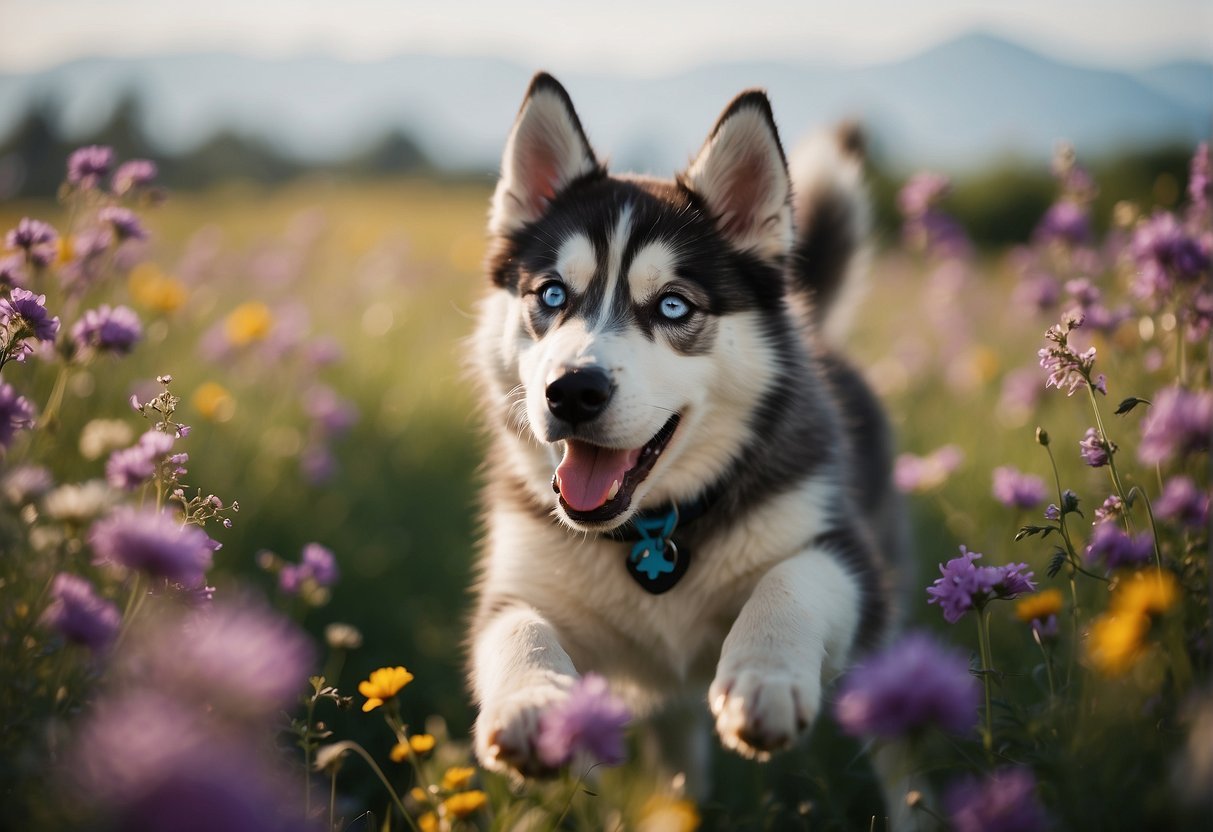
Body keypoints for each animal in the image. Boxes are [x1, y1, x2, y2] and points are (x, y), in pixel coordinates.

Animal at [468, 74, 907, 785]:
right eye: (553, 294)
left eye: (674, 305)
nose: (573, 391)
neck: (654, 529)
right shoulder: (519, 584)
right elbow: (518, 629)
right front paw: (534, 701)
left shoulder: (849, 558)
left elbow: (792, 579)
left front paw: (764, 675)